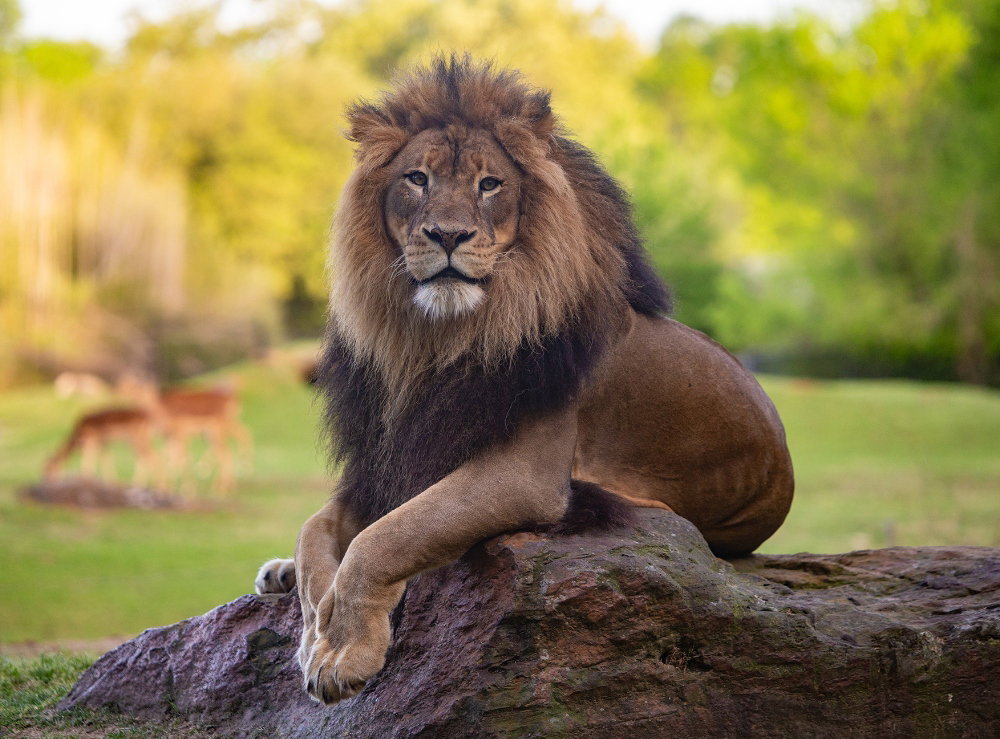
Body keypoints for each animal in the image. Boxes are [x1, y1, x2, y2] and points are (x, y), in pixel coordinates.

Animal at [255, 57, 794, 705]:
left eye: (490, 185)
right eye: (417, 179)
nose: (448, 235)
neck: (432, 342)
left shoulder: (524, 475)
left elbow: (385, 537)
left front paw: (342, 653)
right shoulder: (388, 461)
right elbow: (316, 534)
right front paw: (316, 626)